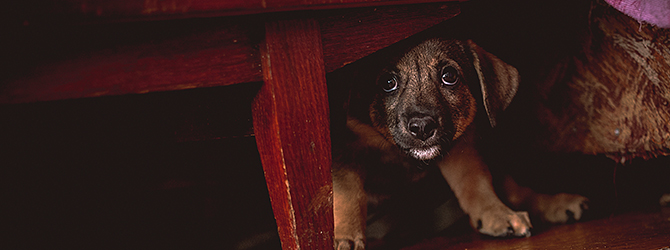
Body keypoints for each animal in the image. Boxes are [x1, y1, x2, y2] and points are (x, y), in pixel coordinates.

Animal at [334, 38, 588, 249]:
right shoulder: (347, 150)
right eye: (388, 82)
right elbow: (348, 194)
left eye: (449, 76)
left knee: (514, 188)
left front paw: (496, 213)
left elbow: (475, 182)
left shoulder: (460, 147)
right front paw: (345, 236)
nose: (422, 127)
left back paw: (556, 203)